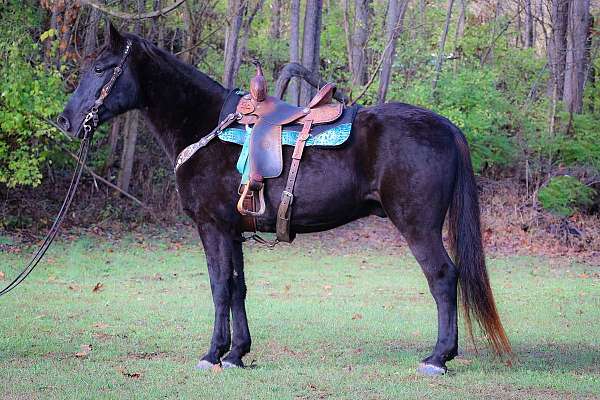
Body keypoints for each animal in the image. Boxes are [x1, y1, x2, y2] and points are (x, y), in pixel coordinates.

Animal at [58, 24, 510, 376]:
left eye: (99, 68)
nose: (66, 121)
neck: (205, 127)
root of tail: (445, 125)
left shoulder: (212, 227)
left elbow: (219, 286)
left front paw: (212, 354)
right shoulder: (234, 231)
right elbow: (237, 287)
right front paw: (237, 353)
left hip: (418, 226)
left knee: (442, 277)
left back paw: (438, 358)